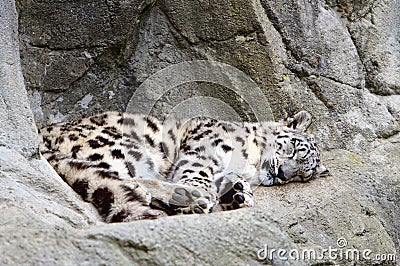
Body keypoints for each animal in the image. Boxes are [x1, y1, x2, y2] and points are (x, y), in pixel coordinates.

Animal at [39, 110, 328, 222]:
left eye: (302, 175)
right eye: (293, 148)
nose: (281, 173)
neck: (250, 165)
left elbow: (219, 179)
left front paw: (237, 192)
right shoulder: (204, 149)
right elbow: (197, 173)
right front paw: (206, 191)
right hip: (122, 145)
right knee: (120, 174)